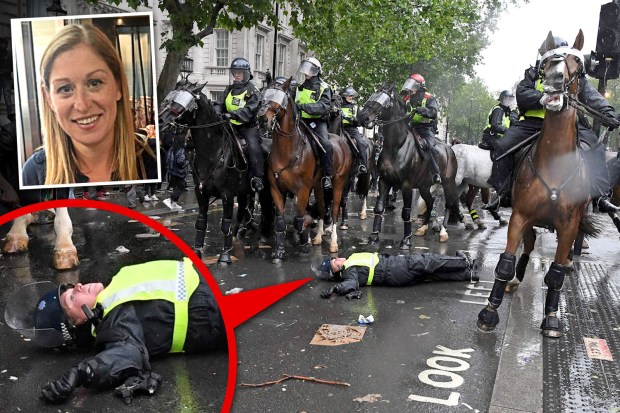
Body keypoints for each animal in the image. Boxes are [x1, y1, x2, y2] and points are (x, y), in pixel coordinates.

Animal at [159, 82, 270, 266]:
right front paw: (198, 251)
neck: (212, 151)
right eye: (170, 97)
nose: (160, 120)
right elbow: (201, 222)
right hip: (244, 192)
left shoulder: (227, 195)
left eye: (181, 102)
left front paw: (224, 255)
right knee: (244, 211)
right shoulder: (201, 192)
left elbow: (225, 223)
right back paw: (241, 233)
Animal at [256, 79, 354, 262]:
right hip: (319, 186)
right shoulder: (276, 189)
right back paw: (318, 236)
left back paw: (333, 243)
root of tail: (342, 141)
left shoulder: (302, 190)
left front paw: (304, 244)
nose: (262, 119)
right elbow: (280, 221)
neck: (288, 151)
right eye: (263, 95)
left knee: (334, 209)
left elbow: (298, 218)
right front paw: (279, 251)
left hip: (338, 182)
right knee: (322, 207)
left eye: (280, 99)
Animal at [354, 85, 460, 246]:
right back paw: (422, 228)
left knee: (448, 204)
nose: (362, 117)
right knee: (430, 202)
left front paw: (406, 240)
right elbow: (379, 207)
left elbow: (406, 212)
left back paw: (442, 232)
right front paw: (374, 236)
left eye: (383, 101)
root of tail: (450, 149)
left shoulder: (407, 185)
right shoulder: (384, 181)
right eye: (372, 96)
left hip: (448, 182)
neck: (396, 146)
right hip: (424, 186)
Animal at [474, 30, 600, 336]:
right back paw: (515, 280)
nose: (554, 81)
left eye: (577, 64)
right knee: (528, 247)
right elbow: (505, 263)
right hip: (529, 222)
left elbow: (555, 274)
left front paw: (552, 318)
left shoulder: (568, 227)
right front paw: (489, 313)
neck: (554, 165)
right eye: (546, 65)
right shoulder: (520, 216)